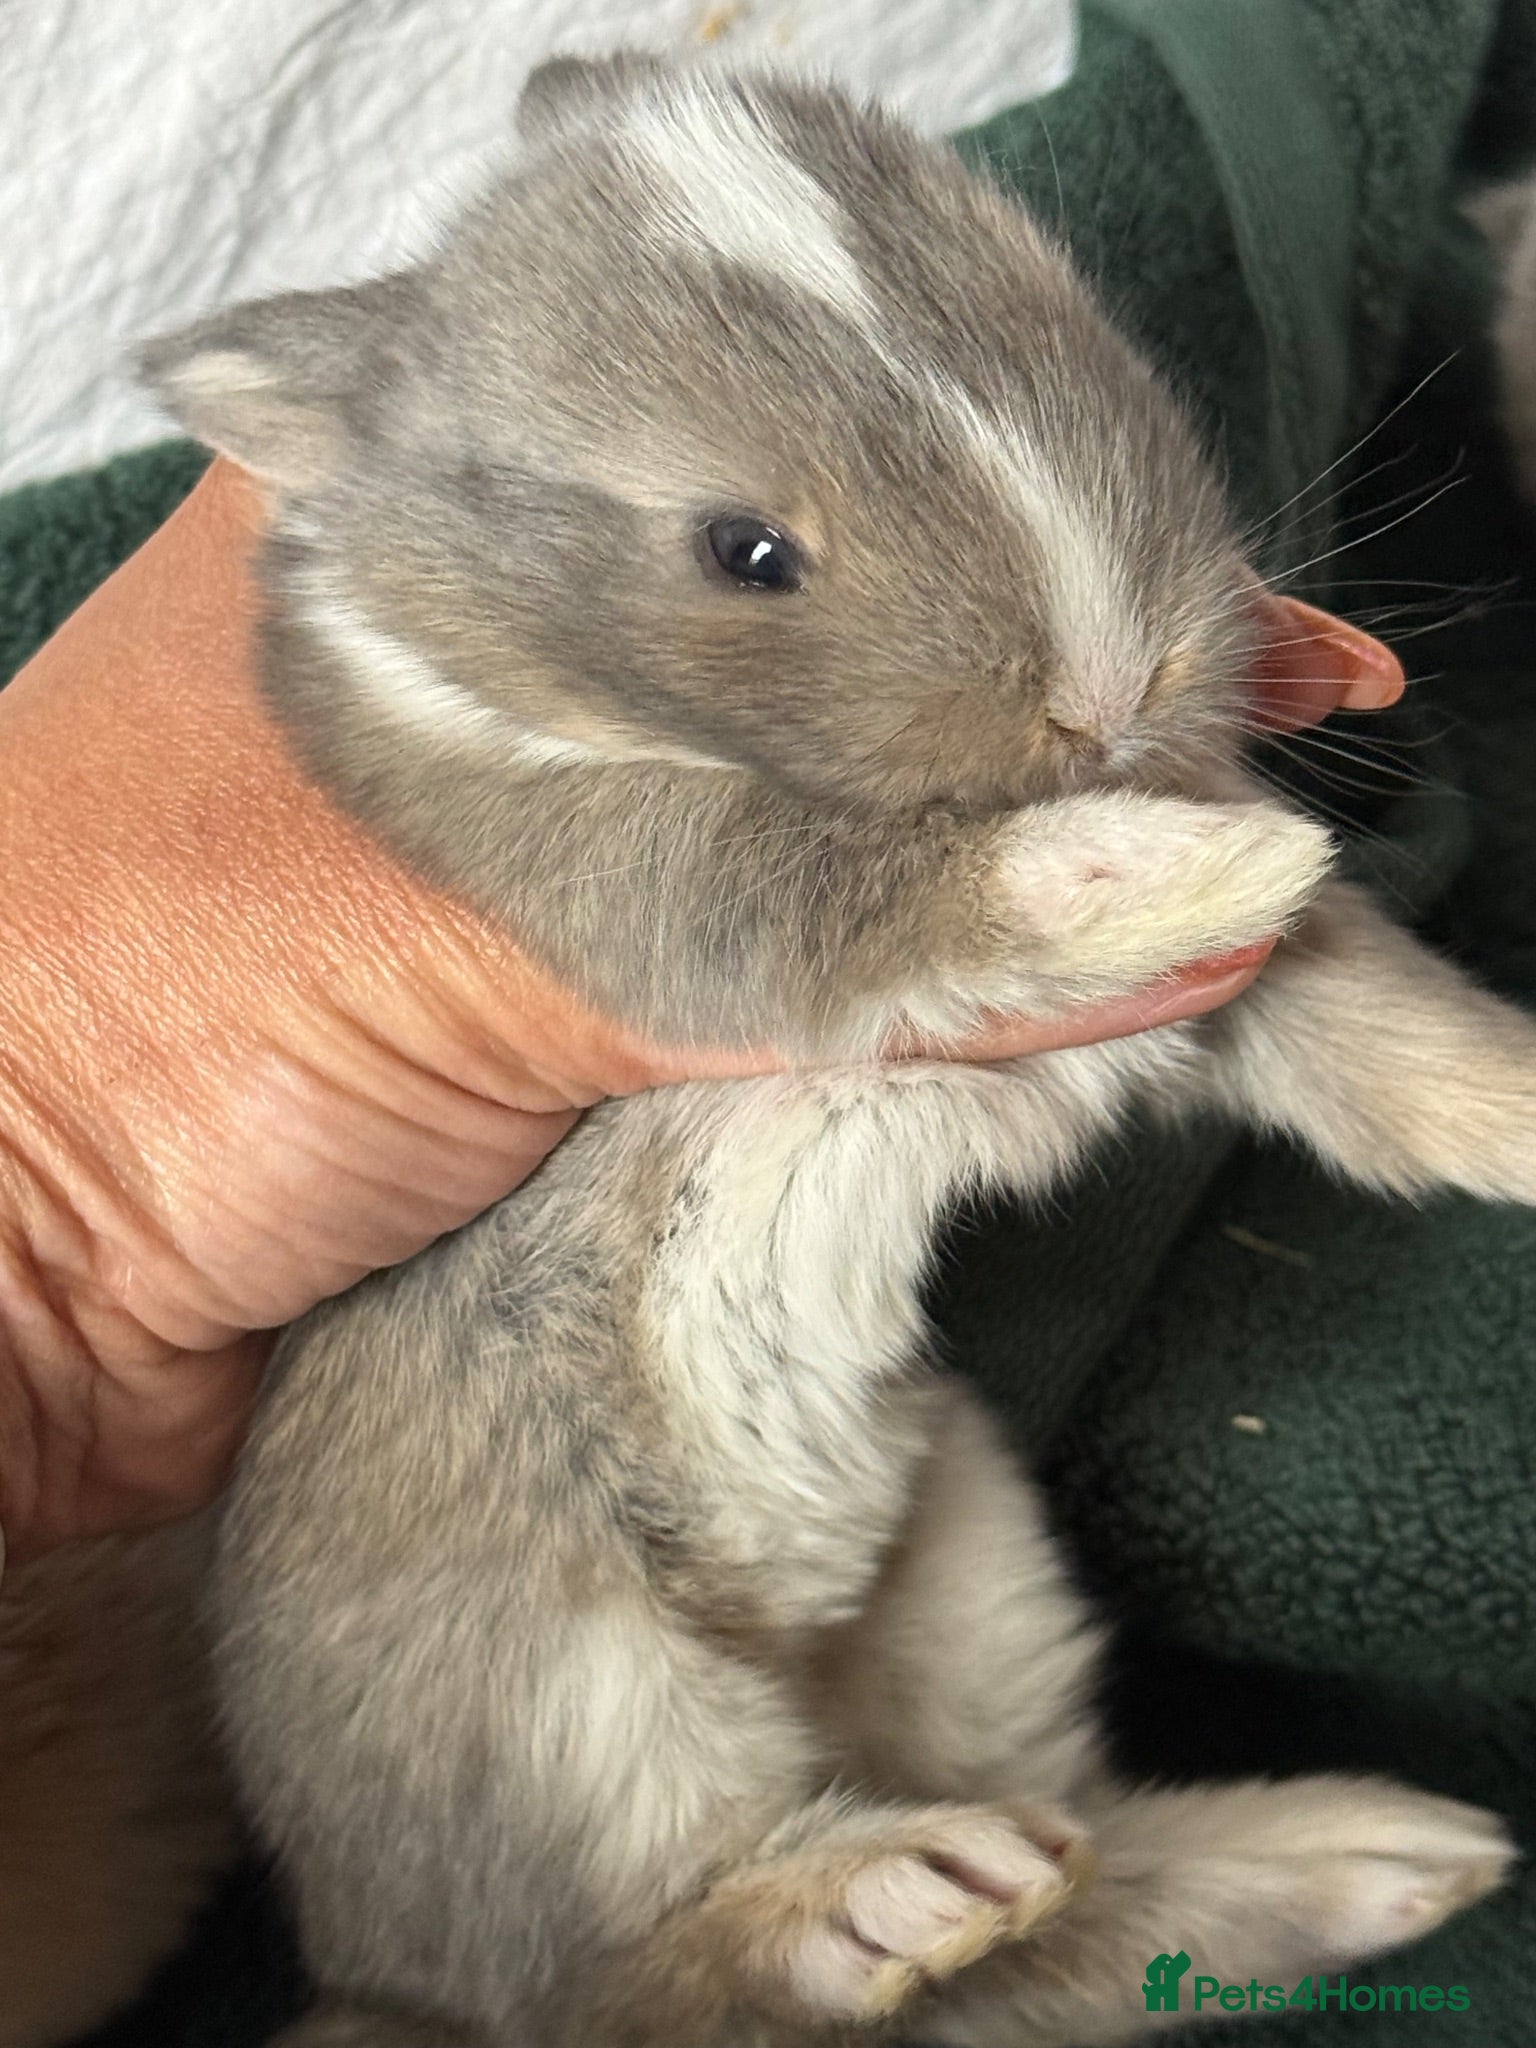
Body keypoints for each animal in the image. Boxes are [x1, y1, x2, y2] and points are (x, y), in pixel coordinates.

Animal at [124, 53, 1536, 2048]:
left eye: (1078, 330)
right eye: (746, 551)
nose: (1113, 686)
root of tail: (374, 1976)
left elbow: (1377, 1034)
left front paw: (1520, 1103)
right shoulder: (645, 888)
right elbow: (877, 890)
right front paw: (1208, 853)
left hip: (967, 1563)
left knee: (1062, 1907)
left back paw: (1368, 1853)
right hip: (568, 1701)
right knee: (647, 1972)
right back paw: (889, 1894)